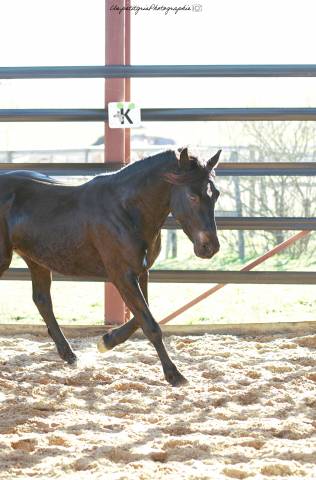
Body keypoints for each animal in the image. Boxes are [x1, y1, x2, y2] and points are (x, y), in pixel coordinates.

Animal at [0, 148, 221, 388]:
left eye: (215, 194)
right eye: (192, 196)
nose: (210, 247)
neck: (126, 211)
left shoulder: (140, 271)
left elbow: (142, 316)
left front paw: (106, 341)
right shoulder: (121, 274)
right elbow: (150, 324)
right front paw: (174, 375)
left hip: (36, 260)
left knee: (42, 300)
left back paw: (70, 355)